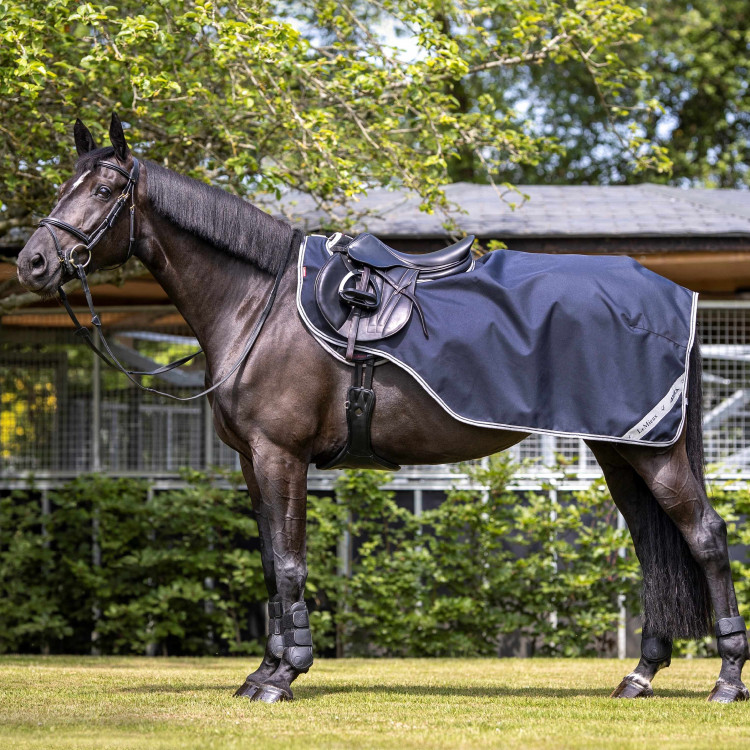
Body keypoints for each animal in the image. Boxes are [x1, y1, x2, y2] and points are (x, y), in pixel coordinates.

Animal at [14, 116, 748, 704]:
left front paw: (284, 677)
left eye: (103, 190)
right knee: (653, 546)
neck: (260, 306)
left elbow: (289, 562)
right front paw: (262, 671)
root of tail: (670, 293)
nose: (32, 262)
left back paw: (725, 681)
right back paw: (640, 676)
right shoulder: (253, 462)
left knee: (706, 537)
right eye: (63, 184)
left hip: (652, 453)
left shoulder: (281, 456)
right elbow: (270, 563)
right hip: (621, 451)